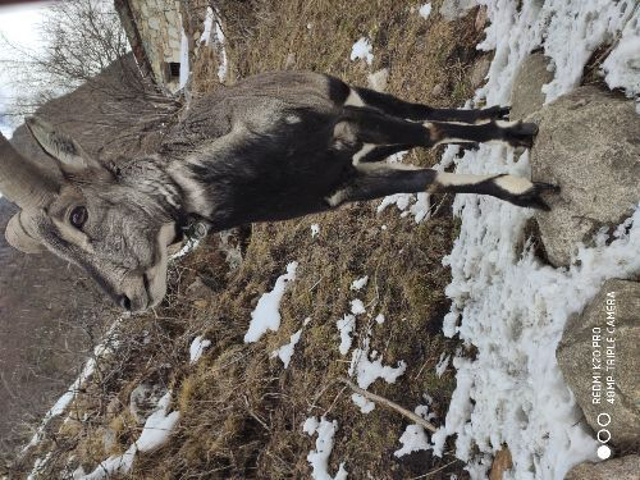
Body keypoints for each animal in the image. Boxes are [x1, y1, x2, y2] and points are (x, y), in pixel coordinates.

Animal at [1, 71, 556, 312]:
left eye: (77, 215)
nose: (126, 300)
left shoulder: (344, 125)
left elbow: (431, 133)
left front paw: (520, 137)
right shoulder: (343, 185)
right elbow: (430, 178)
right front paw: (523, 191)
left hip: (356, 98)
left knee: (422, 112)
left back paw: (497, 119)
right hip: (368, 145)